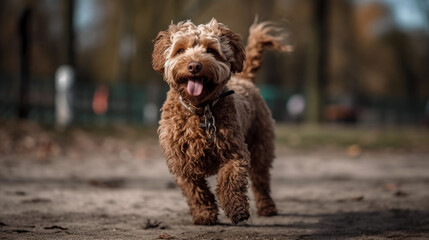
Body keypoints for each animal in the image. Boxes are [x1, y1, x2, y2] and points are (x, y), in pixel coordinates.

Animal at [152, 18, 290, 225]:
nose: (194, 66)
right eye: (180, 50)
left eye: (211, 50)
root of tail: (244, 79)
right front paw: (204, 214)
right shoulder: (181, 162)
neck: (200, 110)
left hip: (261, 146)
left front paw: (236, 209)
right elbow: (195, 190)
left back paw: (267, 207)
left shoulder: (235, 152)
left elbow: (229, 180)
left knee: (261, 179)